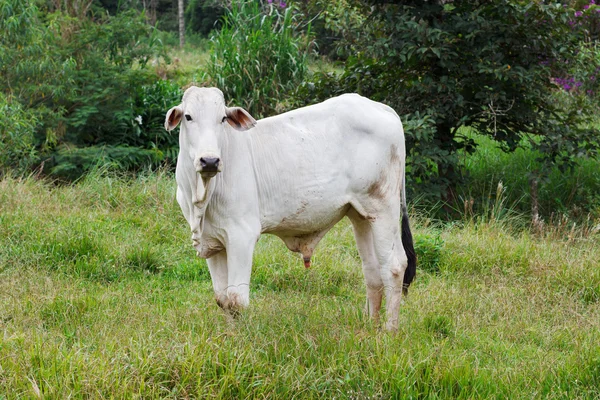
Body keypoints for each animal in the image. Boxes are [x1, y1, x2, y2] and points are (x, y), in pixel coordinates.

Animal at [164, 86, 418, 330]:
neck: (202, 195)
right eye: (188, 116)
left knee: (394, 266)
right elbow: (222, 299)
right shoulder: (212, 241)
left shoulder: (241, 235)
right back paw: (370, 326)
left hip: (384, 207)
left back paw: (389, 330)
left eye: (223, 119)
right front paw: (229, 334)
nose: (210, 161)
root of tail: (384, 109)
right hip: (361, 215)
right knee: (372, 271)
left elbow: (237, 300)